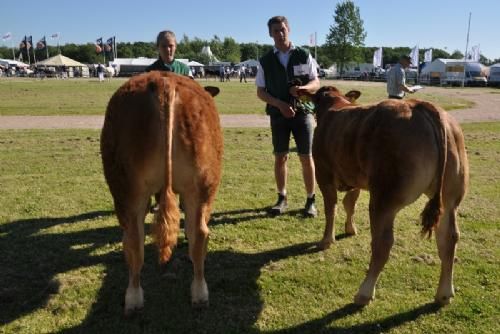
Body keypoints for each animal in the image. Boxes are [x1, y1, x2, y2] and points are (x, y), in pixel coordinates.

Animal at [101, 72, 223, 314]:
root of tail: (164, 81)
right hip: (202, 185)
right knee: (198, 234)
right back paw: (199, 294)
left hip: (126, 189)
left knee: (133, 240)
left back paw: (133, 297)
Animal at [312, 87, 468, 306]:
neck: (335, 105)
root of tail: (420, 105)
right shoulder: (356, 176)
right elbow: (350, 203)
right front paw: (350, 229)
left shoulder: (323, 172)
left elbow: (331, 207)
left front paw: (327, 240)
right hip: (451, 195)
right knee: (449, 237)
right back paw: (444, 293)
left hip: (384, 196)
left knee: (382, 243)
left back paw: (364, 292)